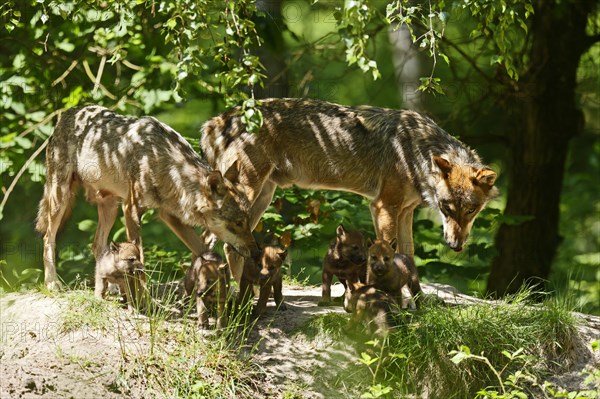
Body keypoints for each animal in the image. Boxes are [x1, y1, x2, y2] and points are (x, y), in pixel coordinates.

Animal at [34, 104, 256, 290]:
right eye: (237, 223)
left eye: (246, 221)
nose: (253, 250)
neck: (165, 163)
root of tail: (69, 112)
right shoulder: (131, 210)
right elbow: (138, 256)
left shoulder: (169, 215)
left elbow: (205, 252)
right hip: (61, 199)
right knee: (47, 238)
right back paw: (52, 283)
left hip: (110, 207)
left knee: (97, 246)